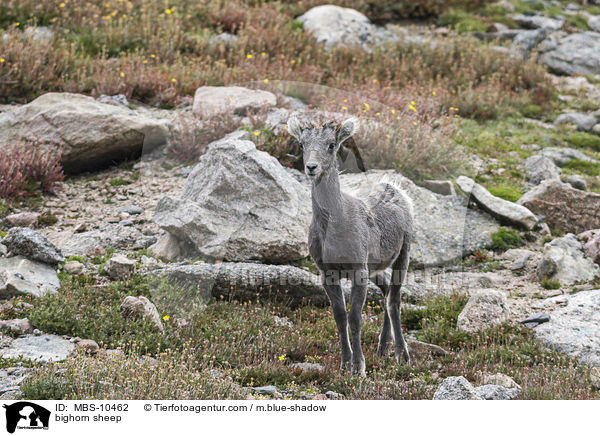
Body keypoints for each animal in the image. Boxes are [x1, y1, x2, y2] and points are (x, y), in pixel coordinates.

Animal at [288, 116, 414, 374]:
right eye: (302, 145)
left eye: (331, 145)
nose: (311, 167)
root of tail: (395, 188)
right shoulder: (328, 273)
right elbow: (340, 317)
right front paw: (345, 365)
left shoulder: (358, 271)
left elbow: (355, 318)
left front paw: (359, 367)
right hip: (374, 268)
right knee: (386, 290)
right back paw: (382, 348)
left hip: (402, 255)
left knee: (394, 300)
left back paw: (402, 355)